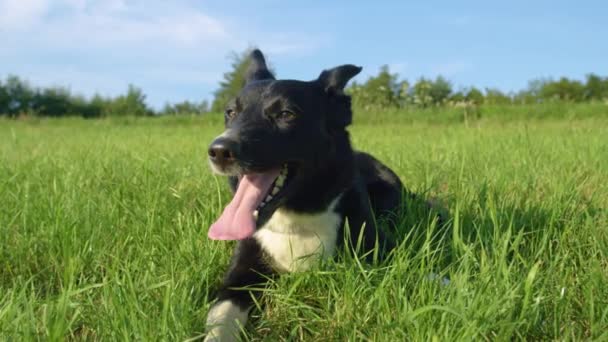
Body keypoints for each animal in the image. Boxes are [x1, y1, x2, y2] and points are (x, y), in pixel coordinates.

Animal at [203, 49, 432, 340]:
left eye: (286, 114)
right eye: (230, 112)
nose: (220, 150)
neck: (298, 221)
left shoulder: (379, 245)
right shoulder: (241, 273)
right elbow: (221, 314)